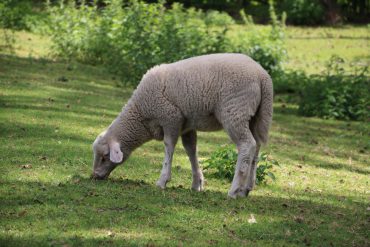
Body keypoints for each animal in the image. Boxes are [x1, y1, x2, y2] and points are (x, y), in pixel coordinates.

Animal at [91, 53, 274, 198]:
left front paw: (163, 180)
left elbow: (169, 147)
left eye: (105, 156)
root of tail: (263, 76)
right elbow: (191, 150)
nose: (94, 177)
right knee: (256, 147)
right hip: (255, 117)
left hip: (235, 111)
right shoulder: (187, 125)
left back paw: (234, 190)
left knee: (247, 145)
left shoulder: (171, 118)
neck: (140, 114)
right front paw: (197, 183)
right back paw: (246, 189)